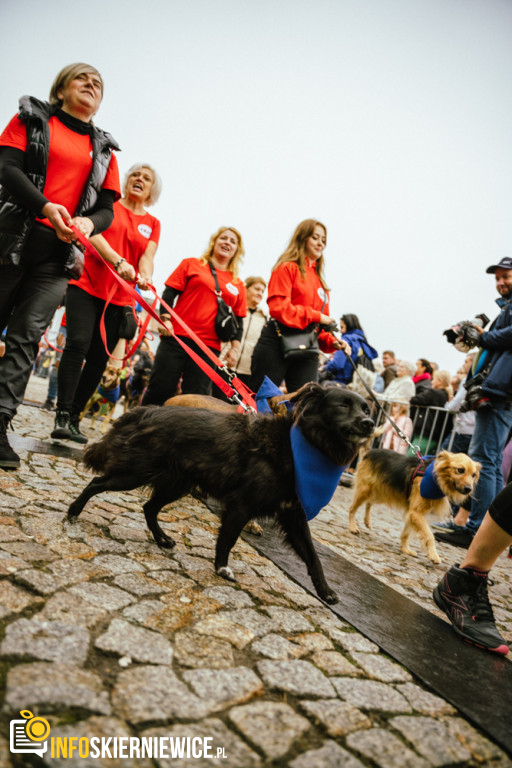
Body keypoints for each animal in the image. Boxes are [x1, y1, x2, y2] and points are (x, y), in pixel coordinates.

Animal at [67, 388, 372, 604]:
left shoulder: (294, 515)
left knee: (148, 508)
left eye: (366, 408)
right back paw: (72, 513)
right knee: (96, 483)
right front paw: (222, 568)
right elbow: (227, 539)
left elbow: (313, 557)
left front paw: (325, 590)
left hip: (175, 484)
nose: (369, 423)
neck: (300, 450)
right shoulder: (242, 505)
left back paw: (162, 539)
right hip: (134, 474)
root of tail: (145, 411)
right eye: (343, 404)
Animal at [348, 450, 480, 564]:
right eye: (460, 470)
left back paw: (367, 521)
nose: (469, 489)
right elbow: (429, 535)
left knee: (369, 503)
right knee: (352, 509)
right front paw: (433, 555)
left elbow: (406, 533)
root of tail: (370, 452)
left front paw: (405, 549)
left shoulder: (412, 513)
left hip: (381, 492)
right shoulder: (416, 513)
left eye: (473, 475)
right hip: (365, 490)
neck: (436, 477)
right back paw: (353, 527)